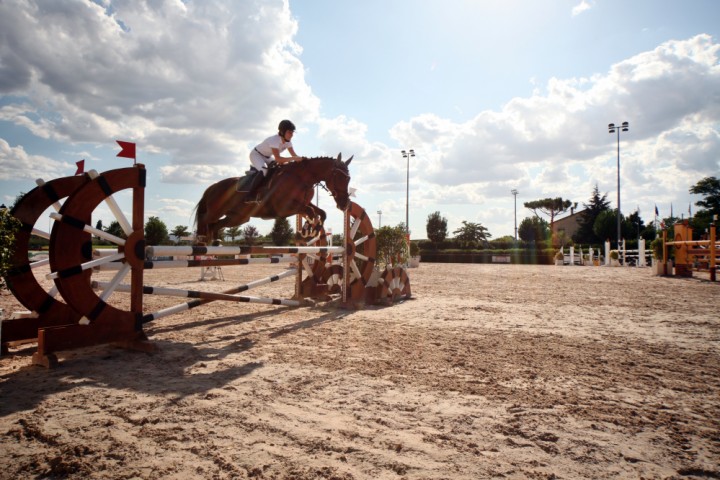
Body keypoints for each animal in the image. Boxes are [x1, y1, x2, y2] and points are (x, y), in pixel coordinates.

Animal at [193, 154, 352, 244]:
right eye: (339, 177)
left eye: (348, 178)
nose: (344, 204)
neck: (302, 178)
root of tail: (212, 187)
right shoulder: (285, 208)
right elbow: (311, 212)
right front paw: (308, 232)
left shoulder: (303, 203)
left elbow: (321, 212)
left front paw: (313, 230)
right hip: (217, 212)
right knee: (205, 220)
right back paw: (200, 240)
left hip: (238, 218)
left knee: (215, 225)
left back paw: (215, 241)